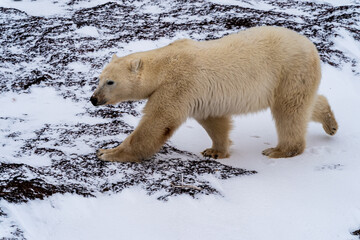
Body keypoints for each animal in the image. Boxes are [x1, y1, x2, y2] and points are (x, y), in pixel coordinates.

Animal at [89, 25, 338, 163]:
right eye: (98, 78)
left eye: (110, 81)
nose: (93, 99)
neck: (164, 65)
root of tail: (311, 46)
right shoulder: (199, 94)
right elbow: (214, 121)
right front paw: (215, 151)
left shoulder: (177, 85)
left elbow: (157, 122)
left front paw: (107, 152)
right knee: (304, 105)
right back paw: (330, 122)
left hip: (289, 72)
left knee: (289, 111)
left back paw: (279, 150)